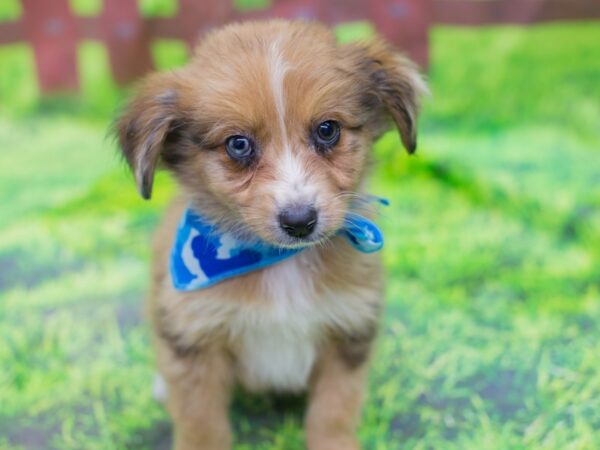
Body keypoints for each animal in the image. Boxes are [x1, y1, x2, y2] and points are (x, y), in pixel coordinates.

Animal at [115, 18, 424, 450]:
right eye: (238, 144)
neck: (279, 263)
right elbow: (201, 423)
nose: (300, 221)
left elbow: (333, 413)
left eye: (327, 130)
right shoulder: (195, 342)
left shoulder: (348, 332)